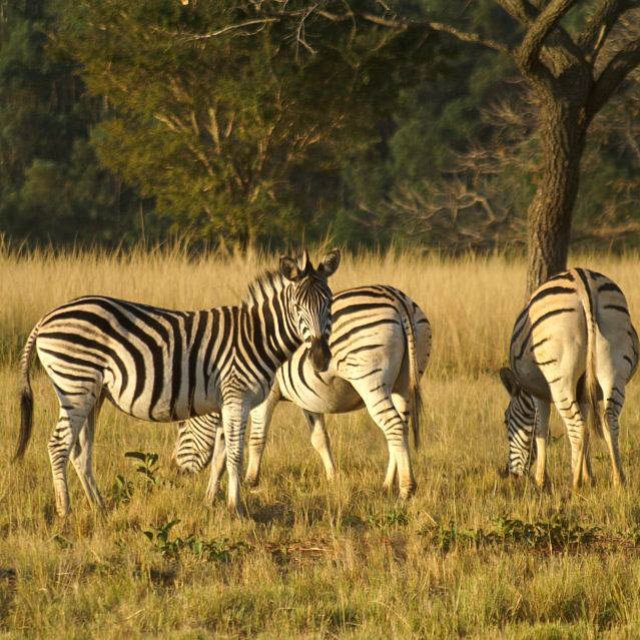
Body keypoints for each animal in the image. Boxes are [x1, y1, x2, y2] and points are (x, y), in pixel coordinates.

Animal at [13, 248, 340, 516]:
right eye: (297, 306)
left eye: (329, 304)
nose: (320, 357)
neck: (255, 336)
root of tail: (46, 318)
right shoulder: (237, 397)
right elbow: (235, 454)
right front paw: (237, 509)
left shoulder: (225, 403)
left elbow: (220, 457)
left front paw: (211, 502)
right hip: (75, 387)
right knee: (58, 445)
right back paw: (65, 511)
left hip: (93, 394)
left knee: (80, 451)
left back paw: (100, 507)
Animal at [171, 284, 430, 500]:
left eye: (181, 426)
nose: (174, 469)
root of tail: (396, 299)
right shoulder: (308, 397)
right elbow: (320, 439)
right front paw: (332, 477)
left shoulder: (264, 395)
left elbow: (256, 439)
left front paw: (250, 480)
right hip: (402, 384)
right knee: (400, 426)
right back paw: (388, 483)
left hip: (370, 381)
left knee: (393, 425)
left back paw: (406, 489)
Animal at [502, 268, 636, 488]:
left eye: (506, 420)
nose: (512, 477)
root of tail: (582, 279)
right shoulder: (583, 393)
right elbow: (587, 431)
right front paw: (588, 476)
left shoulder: (538, 393)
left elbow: (541, 429)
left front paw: (542, 480)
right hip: (614, 369)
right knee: (609, 420)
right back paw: (619, 480)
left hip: (559, 378)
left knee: (577, 426)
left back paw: (574, 483)